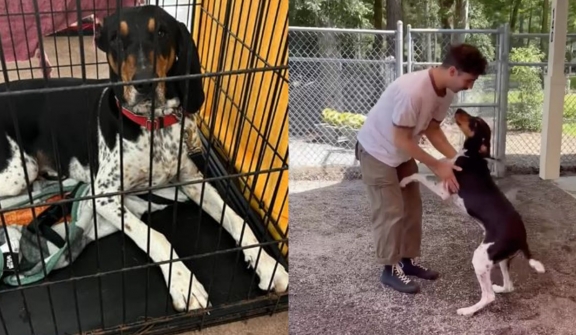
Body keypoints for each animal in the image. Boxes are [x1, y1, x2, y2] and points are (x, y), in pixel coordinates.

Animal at [0, 3, 288, 312]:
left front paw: (267, 265)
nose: (144, 83)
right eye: (116, 38)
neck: (153, 125)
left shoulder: (192, 179)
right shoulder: (105, 196)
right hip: (19, 172)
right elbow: (157, 237)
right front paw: (183, 282)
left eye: (161, 32)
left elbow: (236, 219)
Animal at [398, 109, 544, 318]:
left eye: (475, 122)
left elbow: (420, 175)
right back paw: (499, 288)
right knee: (509, 286)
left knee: (489, 296)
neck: (473, 155)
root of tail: (522, 238)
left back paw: (468, 310)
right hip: (501, 259)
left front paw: (405, 180)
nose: (458, 110)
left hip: (480, 258)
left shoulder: (444, 191)